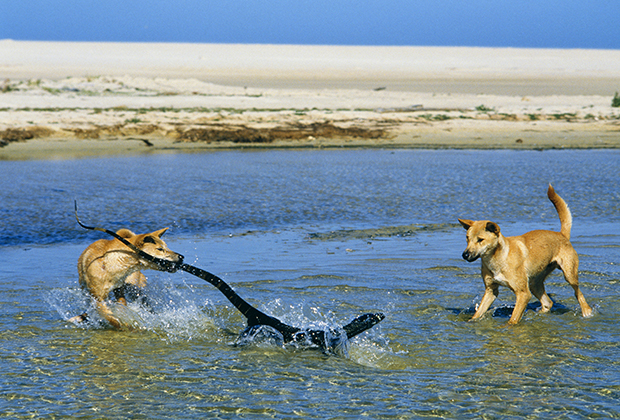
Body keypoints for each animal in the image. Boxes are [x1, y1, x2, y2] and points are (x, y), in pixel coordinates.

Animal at [458, 185, 592, 326]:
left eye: (480, 240)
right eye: (467, 238)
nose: (465, 255)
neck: (497, 259)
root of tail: (562, 234)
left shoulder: (523, 293)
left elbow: (513, 319)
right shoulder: (491, 290)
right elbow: (478, 313)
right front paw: (470, 321)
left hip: (569, 275)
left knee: (579, 295)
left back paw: (587, 312)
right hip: (534, 283)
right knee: (547, 302)